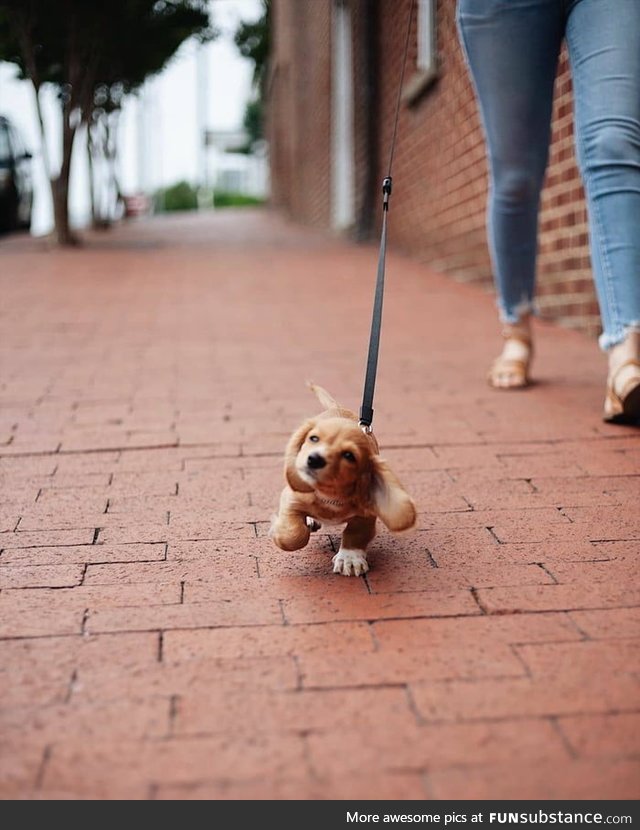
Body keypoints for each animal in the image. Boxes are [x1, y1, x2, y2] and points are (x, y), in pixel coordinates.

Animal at [268, 386, 416, 576]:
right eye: (313, 438)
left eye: (348, 455)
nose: (314, 459)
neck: (330, 494)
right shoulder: (291, 499)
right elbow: (294, 535)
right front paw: (278, 531)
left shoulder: (366, 515)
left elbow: (355, 533)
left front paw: (349, 558)